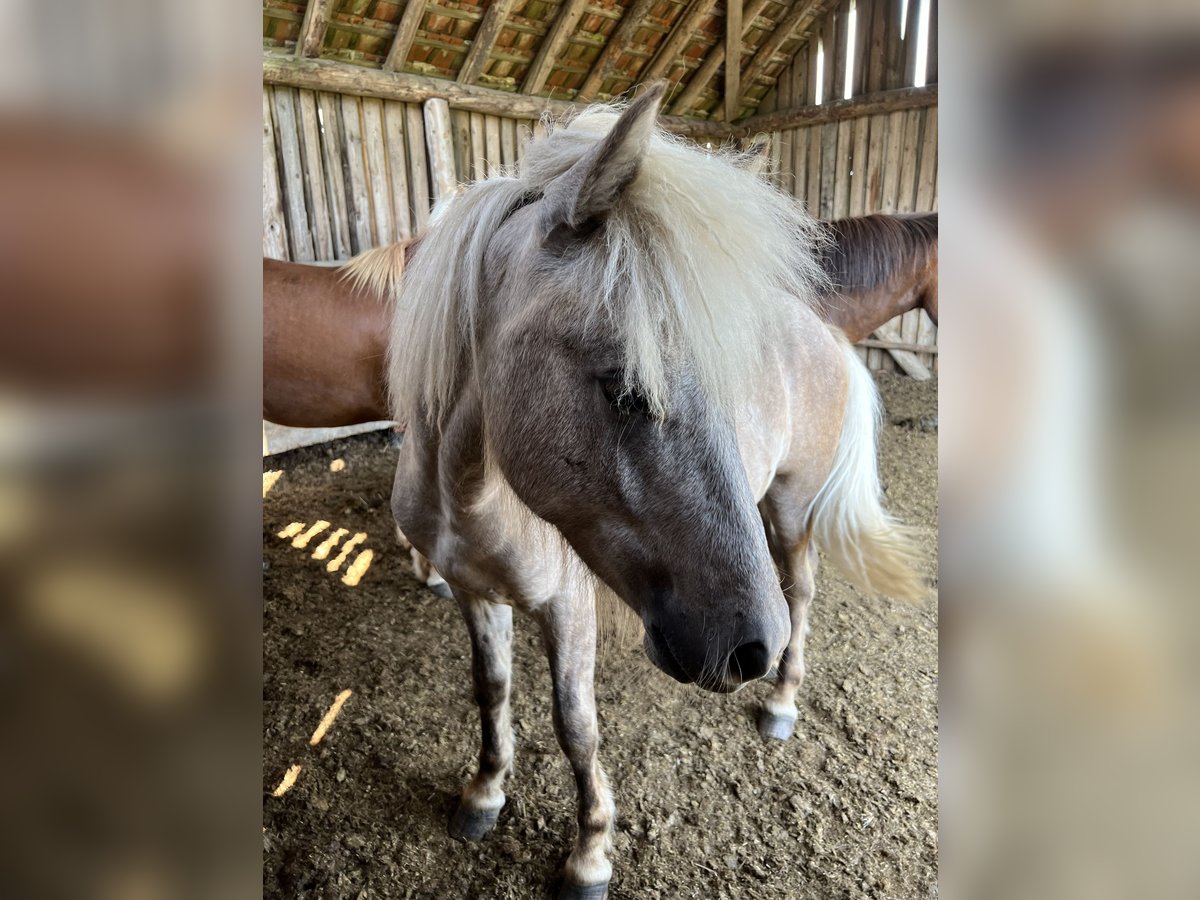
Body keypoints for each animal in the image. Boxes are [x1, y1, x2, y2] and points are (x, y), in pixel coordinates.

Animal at [352, 82, 916, 897]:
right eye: (623, 386)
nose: (749, 648)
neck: (469, 493)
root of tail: (827, 333)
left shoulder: (567, 607)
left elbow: (576, 726)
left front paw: (589, 852)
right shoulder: (472, 592)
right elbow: (491, 691)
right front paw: (484, 793)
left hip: (789, 506)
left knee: (803, 589)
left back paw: (782, 703)